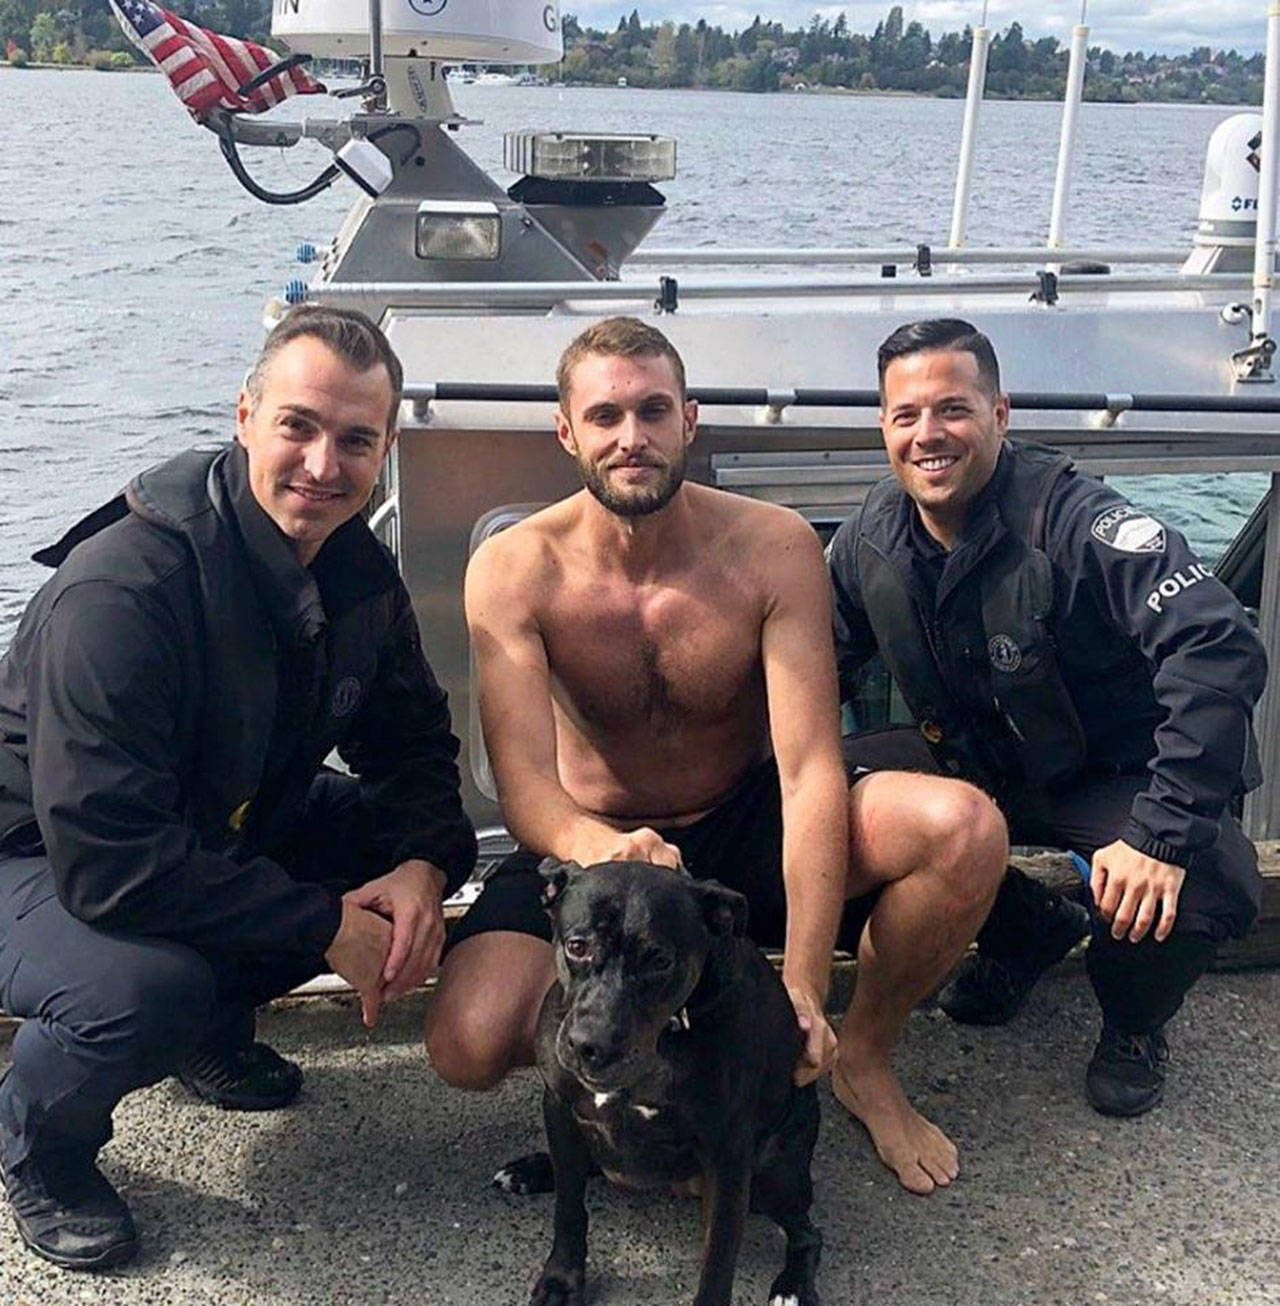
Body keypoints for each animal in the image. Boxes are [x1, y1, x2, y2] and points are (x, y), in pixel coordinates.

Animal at [514, 856, 825, 1306]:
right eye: (577, 946)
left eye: (659, 960)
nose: (591, 1044)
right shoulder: (559, 1107)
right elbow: (569, 1209)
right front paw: (561, 1281)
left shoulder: (728, 1159)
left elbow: (717, 1262)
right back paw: (532, 1170)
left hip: (774, 1174)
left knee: (808, 1234)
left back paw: (793, 1287)